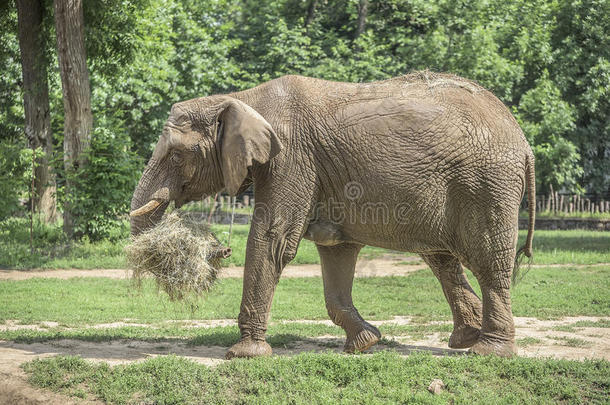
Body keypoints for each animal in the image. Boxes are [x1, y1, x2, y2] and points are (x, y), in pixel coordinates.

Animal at [128, 72, 532, 356]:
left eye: (176, 155)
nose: (218, 250)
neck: (240, 99)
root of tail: (522, 138)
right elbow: (335, 249)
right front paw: (365, 343)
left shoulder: (291, 159)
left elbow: (273, 240)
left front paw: (245, 354)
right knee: (441, 257)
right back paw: (466, 339)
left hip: (486, 184)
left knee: (489, 262)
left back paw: (489, 351)